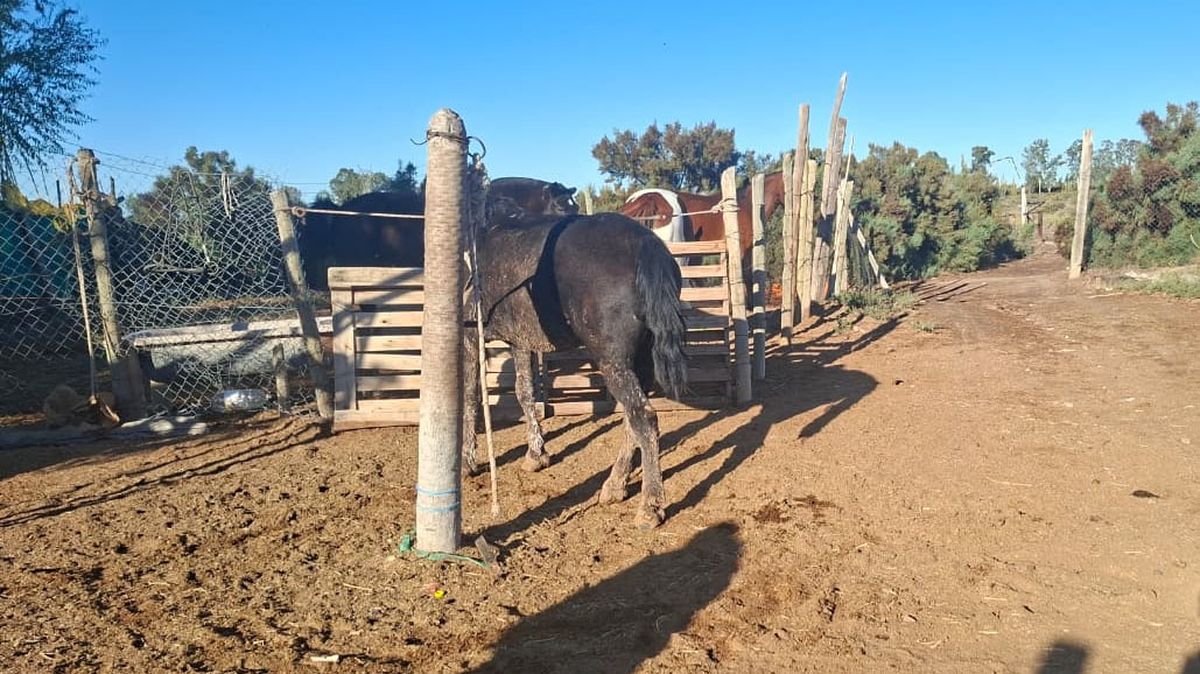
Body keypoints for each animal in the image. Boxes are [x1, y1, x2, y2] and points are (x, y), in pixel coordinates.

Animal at [461, 212, 688, 530]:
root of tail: (644, 242)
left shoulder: (472, 335)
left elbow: (470, 395)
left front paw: (469, 461)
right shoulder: (520, 342)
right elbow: (524, 392)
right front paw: (536, 454)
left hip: (613, 360)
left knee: (643, 418)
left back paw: (649, 507)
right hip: (638, 359)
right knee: (633, 419)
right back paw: (614, 486)